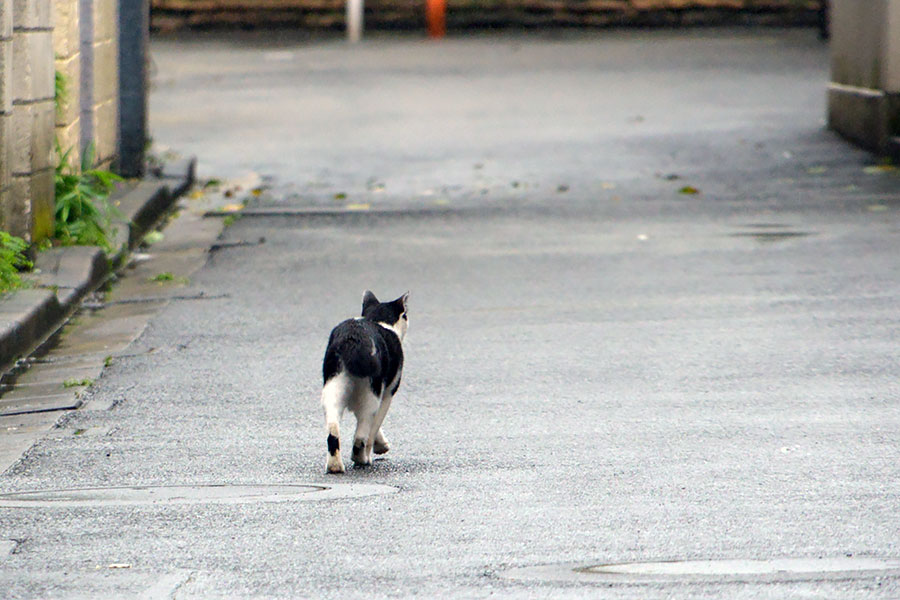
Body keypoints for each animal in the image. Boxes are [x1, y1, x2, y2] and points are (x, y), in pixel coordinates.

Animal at [322, 290, 410, 474]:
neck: (377, 320)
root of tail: (353, 339)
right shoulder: (387, 394)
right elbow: (375, 426)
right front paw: (377, 448)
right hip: (371, 393)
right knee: (361, 434)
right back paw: (361, 459)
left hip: (334, 386)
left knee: (333, 429)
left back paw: (335, 466)